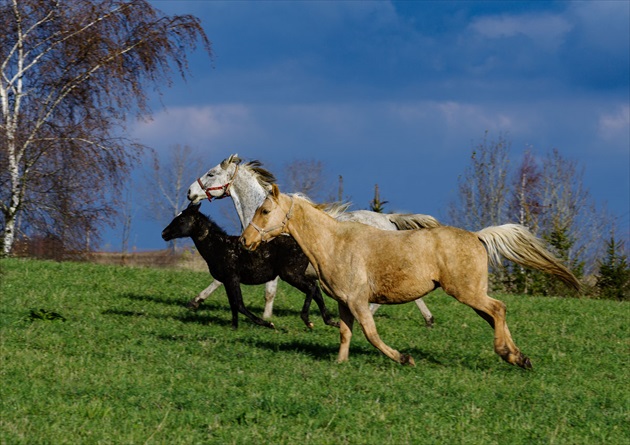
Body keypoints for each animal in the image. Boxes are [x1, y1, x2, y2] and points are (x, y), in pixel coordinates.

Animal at [163, 203, 340, 328]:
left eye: (182, 220)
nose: (164, 233)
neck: (218, 247)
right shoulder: (227, 281)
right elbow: (233, 304)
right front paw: (234, 327)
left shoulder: (232, 278)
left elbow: (239, 304)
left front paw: (268, 323)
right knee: (316, 290)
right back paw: (331, 321)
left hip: (291, 273)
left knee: (312, 288)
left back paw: (308, 320)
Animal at [188, 154, 442, 324]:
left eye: (211, 173)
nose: (190, 193)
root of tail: (388, 219)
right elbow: (222, 280)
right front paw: (196, 301)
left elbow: (265, 290)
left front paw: (266, 317)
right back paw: (428, 319)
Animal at [241, 184, 584, 368]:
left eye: (265, 211)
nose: (245, 240)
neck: (335, 242)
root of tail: (478, 237)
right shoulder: (343, 302)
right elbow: (346, 334)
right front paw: (340, 364)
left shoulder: (359, 300)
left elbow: (371, 333)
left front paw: (404, 358)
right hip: (471, 293)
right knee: (494, 314)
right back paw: (519, 357)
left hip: (466, 291)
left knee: (498, 309)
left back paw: (508, 355)